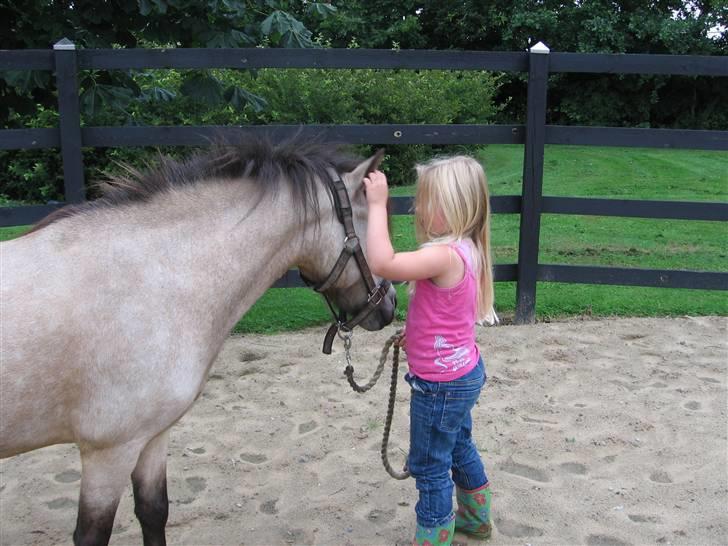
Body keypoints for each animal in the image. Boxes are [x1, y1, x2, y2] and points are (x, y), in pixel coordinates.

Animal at [0, 134, 396, 540]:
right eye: (380, 232)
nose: (390, 305)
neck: (153, 279)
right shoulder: (109, 453)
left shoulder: (152, 437)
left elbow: (153, 512)